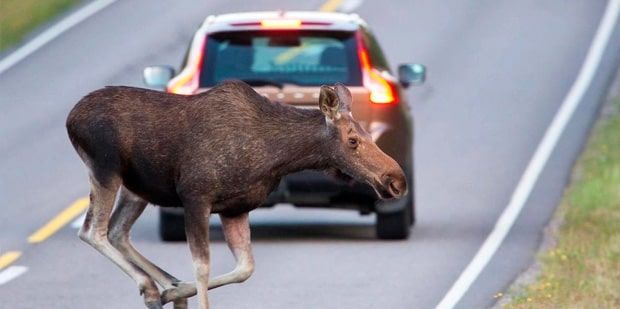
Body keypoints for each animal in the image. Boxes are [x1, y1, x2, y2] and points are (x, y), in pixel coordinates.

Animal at [66, 80, 406, 308]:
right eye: (352, 141)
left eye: (368, 133)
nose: (397, 180)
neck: (274, 155)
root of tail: (71, 118)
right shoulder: (195, 197)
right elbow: (202, 268)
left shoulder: (235, 208)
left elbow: (245, 269)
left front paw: (176, 290)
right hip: (105, 170)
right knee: (92, 230)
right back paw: (151, 286)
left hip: (137, 189)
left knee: (118, 231)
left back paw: (165, 287)